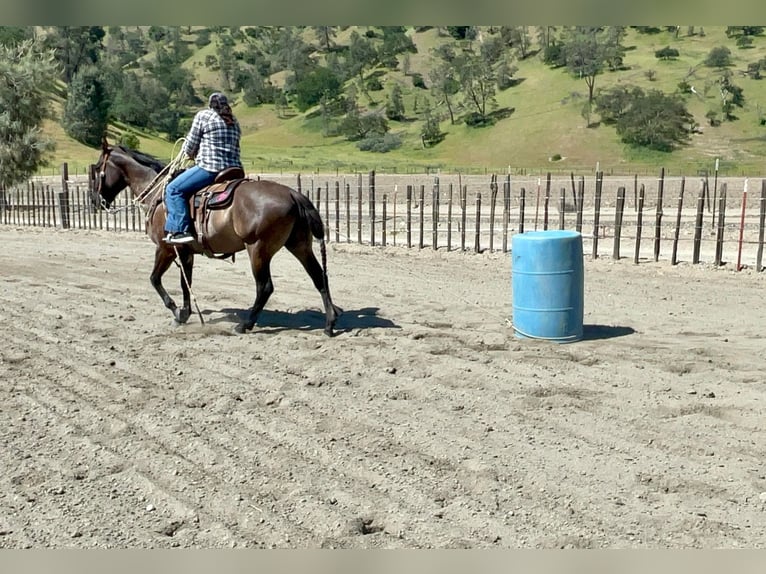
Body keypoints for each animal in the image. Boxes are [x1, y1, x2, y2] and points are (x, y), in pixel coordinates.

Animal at [93, 138, 342, 338]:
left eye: (95, 169)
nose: (96, 201)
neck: (158, 194)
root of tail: (292, 193)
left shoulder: (165, 248)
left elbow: (155, 279)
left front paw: (176, 312)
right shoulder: (185, 252)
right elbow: (185, 283)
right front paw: (185, 312)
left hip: (258, 249)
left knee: (265, 287)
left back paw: (245, 325)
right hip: (300, 245)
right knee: (319, 277)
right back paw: (329, 324)